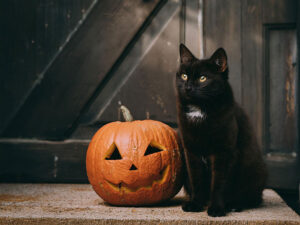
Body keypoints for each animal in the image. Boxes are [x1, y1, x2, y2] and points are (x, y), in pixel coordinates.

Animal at [176, 43, 268, 217]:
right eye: (184, 76)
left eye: (202, 78)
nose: (188, 87)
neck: (200, 110)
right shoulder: (191, 151)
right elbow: (197, 179)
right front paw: (195, 204)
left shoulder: (224, 152)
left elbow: (219, 182)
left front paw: (216, 209)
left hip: (253, 172)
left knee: (253, 199)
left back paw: (234, 205)